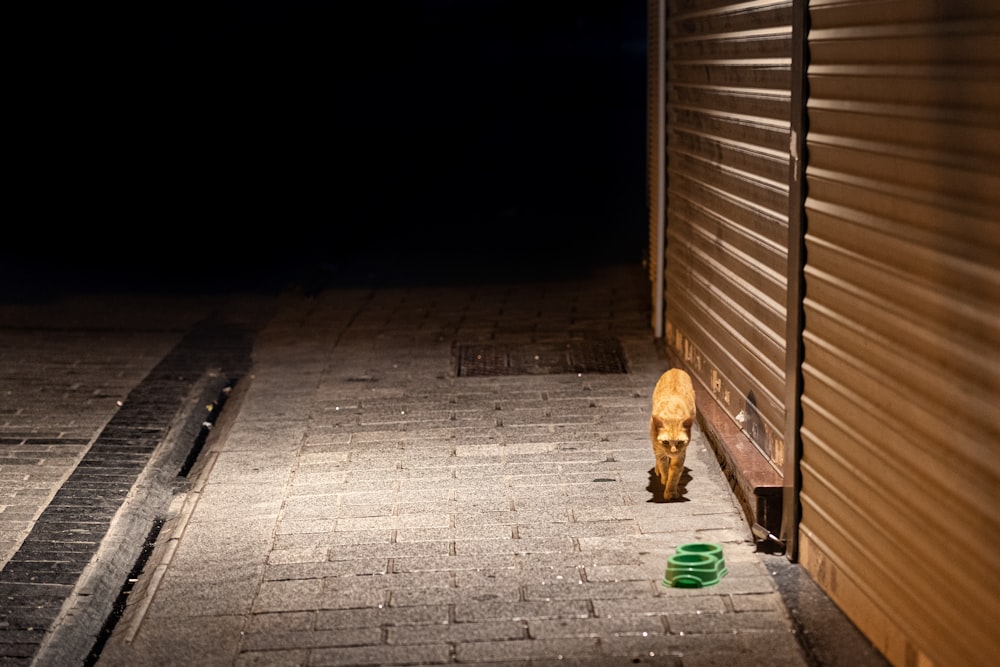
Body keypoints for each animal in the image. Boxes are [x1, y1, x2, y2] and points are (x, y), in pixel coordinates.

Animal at [648, 370, 696, 500]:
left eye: (680, 442)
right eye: (665, 442)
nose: (673, 452)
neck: (672, 415)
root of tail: (675, 369)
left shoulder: (681, 455)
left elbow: (674, 473)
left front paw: (671, 490)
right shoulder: (659, 449)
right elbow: (663, 466)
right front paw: (665, 480)